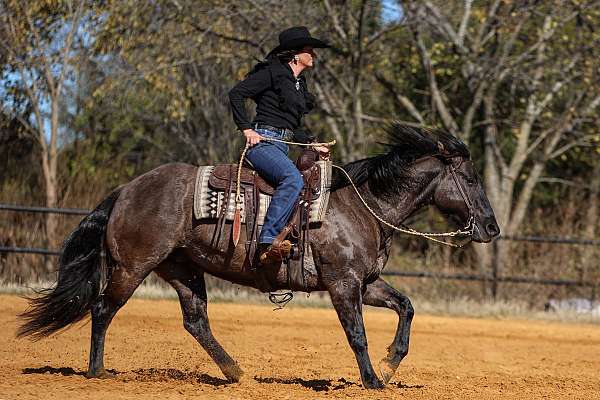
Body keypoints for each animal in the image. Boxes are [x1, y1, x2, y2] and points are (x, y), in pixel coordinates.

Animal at [16, 124, 500, 388]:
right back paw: (97, 372)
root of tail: (125, 190)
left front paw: (391, 361)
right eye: (471, 179)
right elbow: (357, 335)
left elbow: (406, 306)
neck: (361, 206)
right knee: (102, 308)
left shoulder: (366, 283)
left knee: (195, 321)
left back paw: (234, 372)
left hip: (182, 268)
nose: (492, 228)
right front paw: (373, 381)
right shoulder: (343, 284)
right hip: (134, 266)